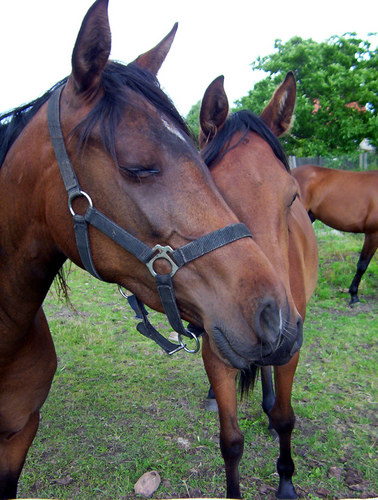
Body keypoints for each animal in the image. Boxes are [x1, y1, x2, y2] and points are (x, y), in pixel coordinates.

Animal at [198, 72, 318, 498]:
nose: (273, 324)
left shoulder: (292, 348)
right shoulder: (215, 349)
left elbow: (284, 418)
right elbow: (230, 443)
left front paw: (286, 481)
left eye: (292, 197)